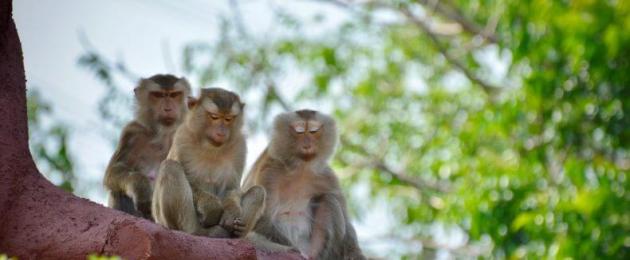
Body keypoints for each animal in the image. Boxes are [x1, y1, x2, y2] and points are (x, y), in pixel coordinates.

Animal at [103, 73, 190, 219]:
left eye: (174, 95)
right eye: (158, 95)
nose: (168, 108)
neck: (164, 134)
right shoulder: (132, 133)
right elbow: (114, 171)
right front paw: (141, 187)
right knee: (117, 191)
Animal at [244, 109, 368, 260]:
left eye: (314, 131)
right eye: (300, 131)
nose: (307, 142)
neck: (301, 167)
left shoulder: (326, 176)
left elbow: (346, 218)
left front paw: (355, 253)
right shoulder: (270, 171)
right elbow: (264, 220)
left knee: (329, 200)